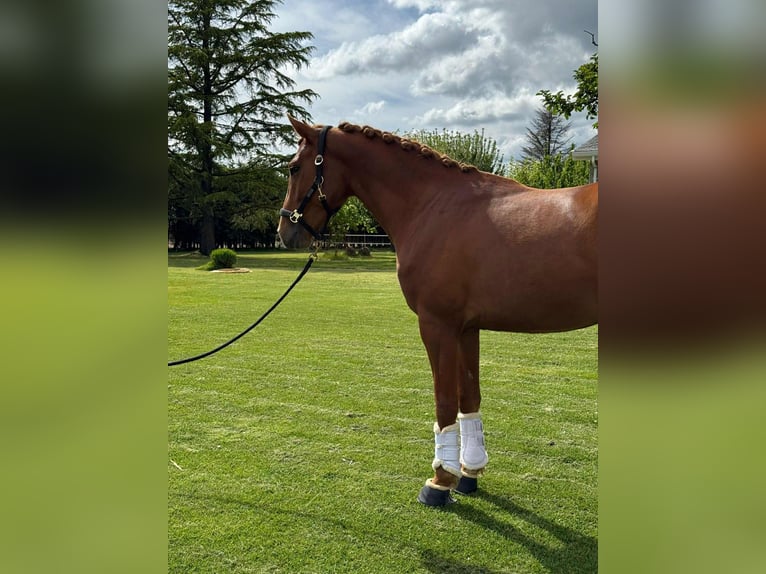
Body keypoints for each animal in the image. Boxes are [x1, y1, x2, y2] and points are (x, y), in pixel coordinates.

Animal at [278, 116, 598, 506]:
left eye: (294, 167)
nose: (284, 231)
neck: (433, 205)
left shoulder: (437, 325)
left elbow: (444, 401)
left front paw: (439, 481)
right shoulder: (466, 329)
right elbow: (468, 398)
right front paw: (470, 473)